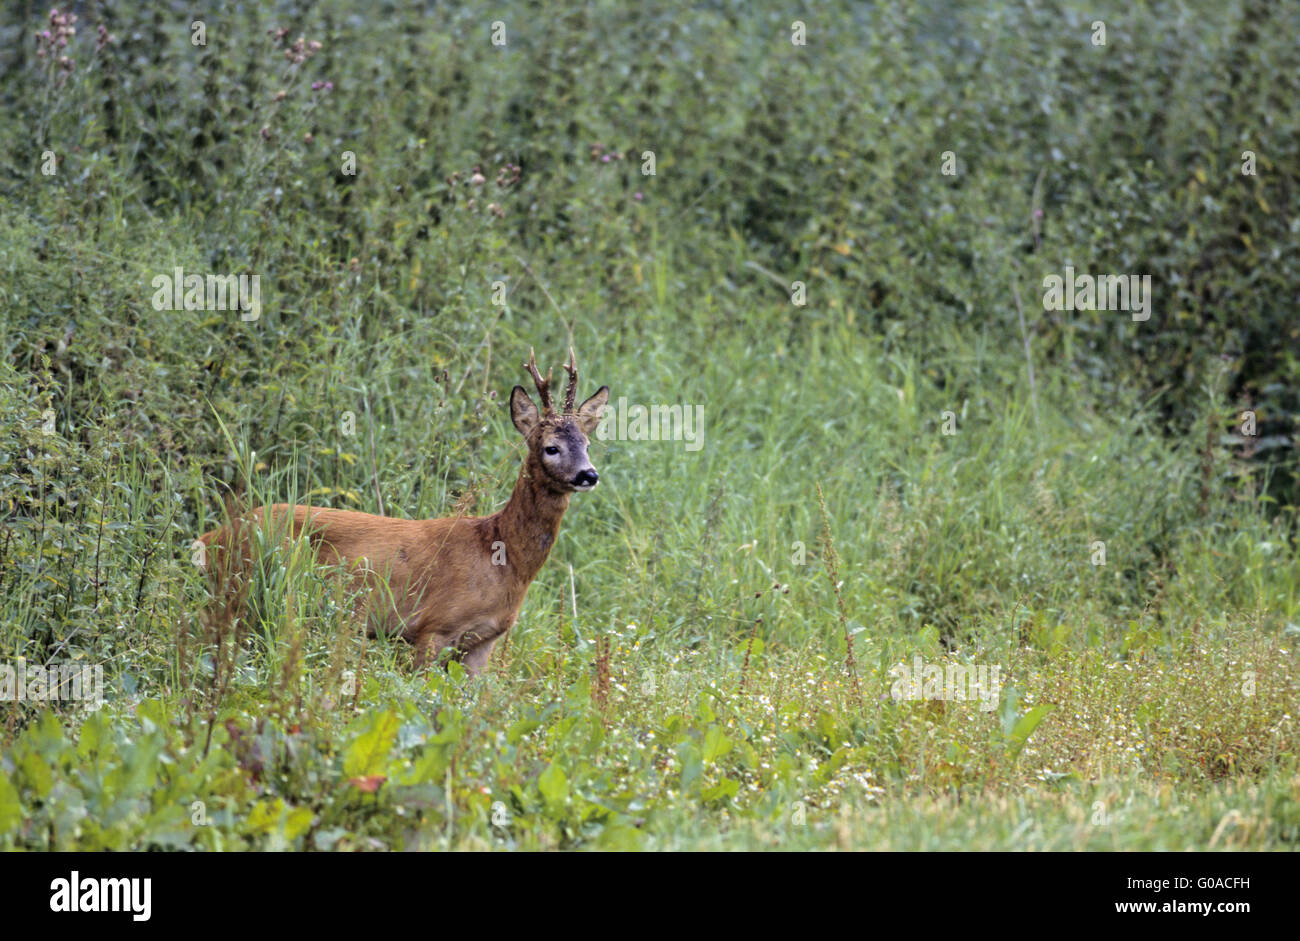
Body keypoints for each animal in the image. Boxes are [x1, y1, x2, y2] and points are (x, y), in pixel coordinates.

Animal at [195, 348, 611, 670]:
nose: (589, 474)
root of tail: (211, 536)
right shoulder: (434, 628)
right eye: (551, 447)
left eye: (587, 443)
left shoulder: (485, 641)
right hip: (244, 591)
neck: (502, 557)